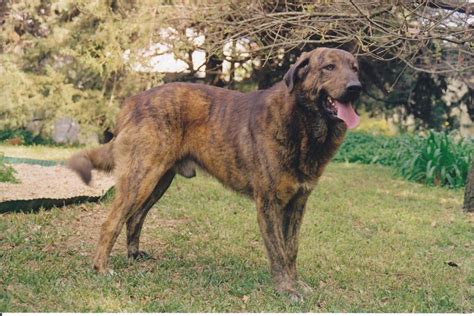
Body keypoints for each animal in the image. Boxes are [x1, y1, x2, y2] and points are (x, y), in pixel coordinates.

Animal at [68, 47, 362, 302]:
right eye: (328, 67)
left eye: (355, 68)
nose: (356, 87)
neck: (302, 124)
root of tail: (132, 101)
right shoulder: (269, 204)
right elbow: (278, 252)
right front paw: (286, 289)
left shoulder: (297, 204)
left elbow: (291, 250)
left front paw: (296, 283)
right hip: (141, 178)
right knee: (113, 221)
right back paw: (100, 267)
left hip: (159, 180)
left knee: (135, 217)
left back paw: (134, 254)